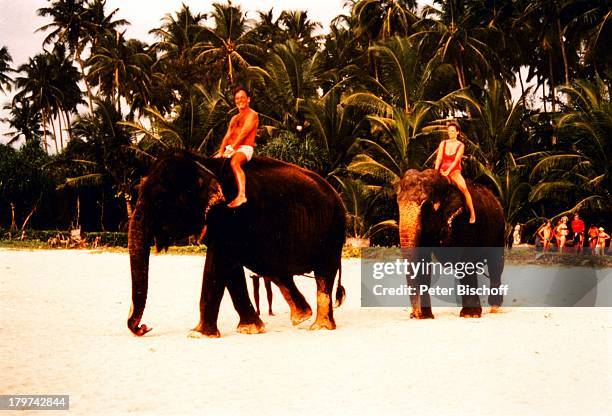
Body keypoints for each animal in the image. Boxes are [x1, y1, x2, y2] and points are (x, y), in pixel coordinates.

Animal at [126, 150, 346, 338]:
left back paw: (320, 326)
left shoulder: (231, 218)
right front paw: (250, 329)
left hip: (333, 234)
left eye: (160, 200)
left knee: (323, 274)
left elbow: (216, 264)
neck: (204, 163)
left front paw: (197, 334)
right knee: (275, 270)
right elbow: (231, 269)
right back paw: (302, 316)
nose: (144, 327)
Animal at [396, 169, 506, 318]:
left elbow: (466, 262)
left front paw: (470, 315)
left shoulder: (466, 223)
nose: (414, 314)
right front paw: (426, 317)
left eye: (426, 206)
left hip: (500, 230)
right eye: (397, 203)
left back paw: (494, 308)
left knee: (496, 266)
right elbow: (424, 263)